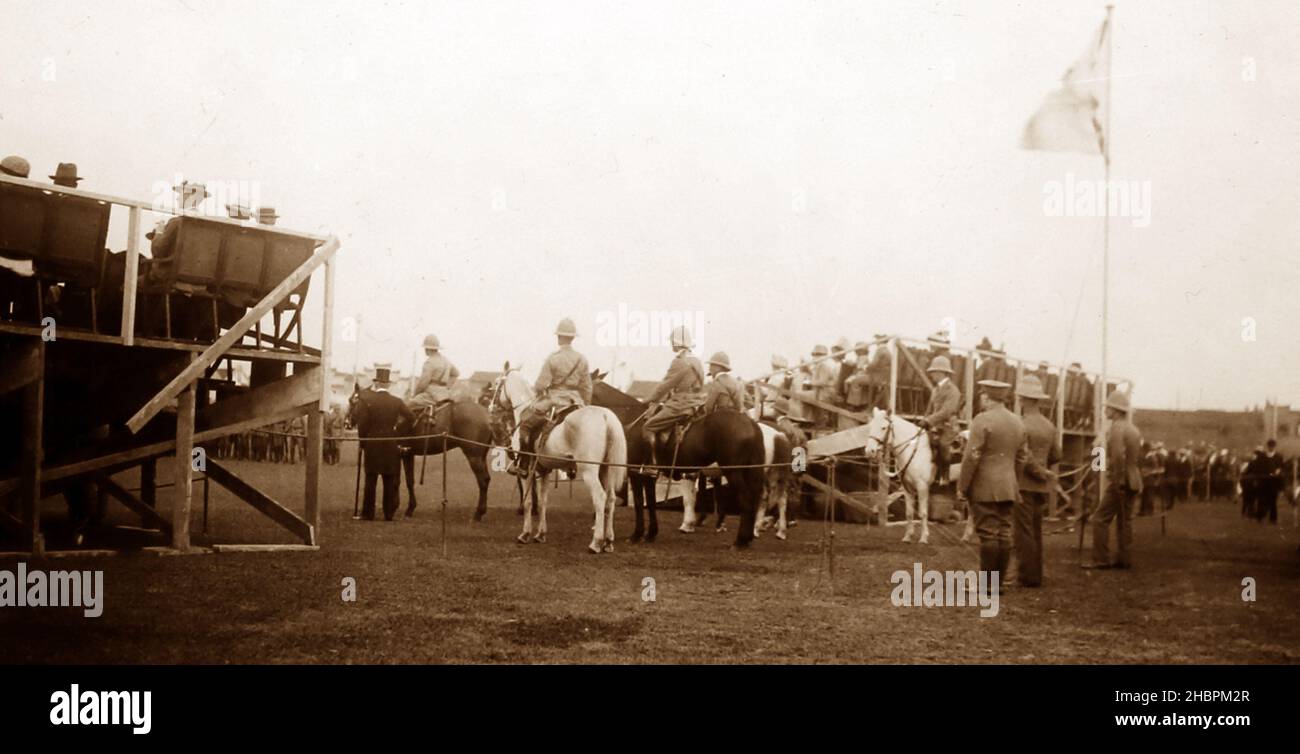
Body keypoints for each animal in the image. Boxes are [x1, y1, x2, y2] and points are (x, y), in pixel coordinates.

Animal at [488, 371, 626, 553]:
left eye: (497, 385)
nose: (491, 408)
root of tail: (605, 417)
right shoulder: (544, 471)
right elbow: (543, 502)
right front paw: (540, 534)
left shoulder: (527, 473)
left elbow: (528, 502)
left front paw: (525, 534)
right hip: (607, 470)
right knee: (610, 499)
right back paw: (608, 541)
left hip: (589, 471)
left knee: (600, 498)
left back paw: (596, 543)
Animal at [863, 408, 935, 546]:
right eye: (870, 426)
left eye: (884, 427)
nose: (870, 451)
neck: (913, 450)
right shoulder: (907, 488)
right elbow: (909, 513)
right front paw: (908, 536)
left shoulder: (922, 487)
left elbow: (923, 513)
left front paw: (924, 538)